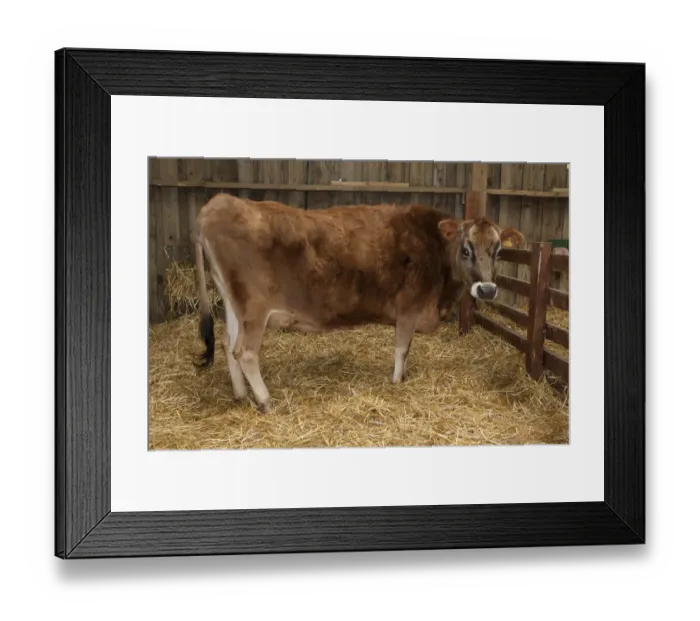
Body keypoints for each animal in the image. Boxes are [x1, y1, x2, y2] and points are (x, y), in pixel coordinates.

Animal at [192, 193, 524, 412]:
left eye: (498, 251)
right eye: (467, 249)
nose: (487, 290)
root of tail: (218, 202)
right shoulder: (409, 307)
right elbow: (402, 348)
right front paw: (397, 381)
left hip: (233, 303)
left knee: (227, 345)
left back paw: (239, 394)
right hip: (254, 308)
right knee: (245, 352)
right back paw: (264, 400)